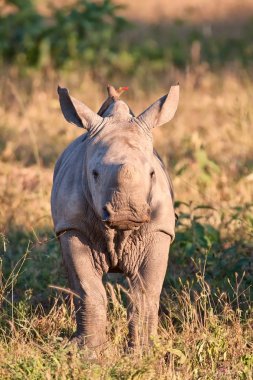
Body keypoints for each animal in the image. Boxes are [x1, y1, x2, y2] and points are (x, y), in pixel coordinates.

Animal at [51, 82, 180, 350]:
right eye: (94, 173)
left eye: (152, 173)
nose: (125, 213)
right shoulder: (73, 227)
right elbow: (89, 290)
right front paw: (89, 351)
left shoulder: (158, 229)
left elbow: (145, 294)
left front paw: (144, 351)